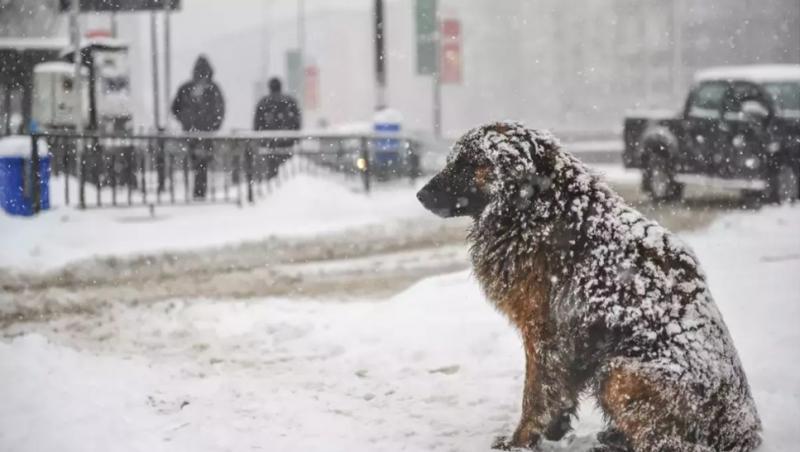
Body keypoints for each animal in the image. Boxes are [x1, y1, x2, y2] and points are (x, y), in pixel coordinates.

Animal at [416, 122, 760, 450]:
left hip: (619, 373)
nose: (420, 194)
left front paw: (520, 441)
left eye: (467, 164)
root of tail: (745, 431)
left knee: (666, 443)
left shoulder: (545, 332)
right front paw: (553, 432)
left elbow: (536, 394)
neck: (539, 206)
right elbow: (560, 393)